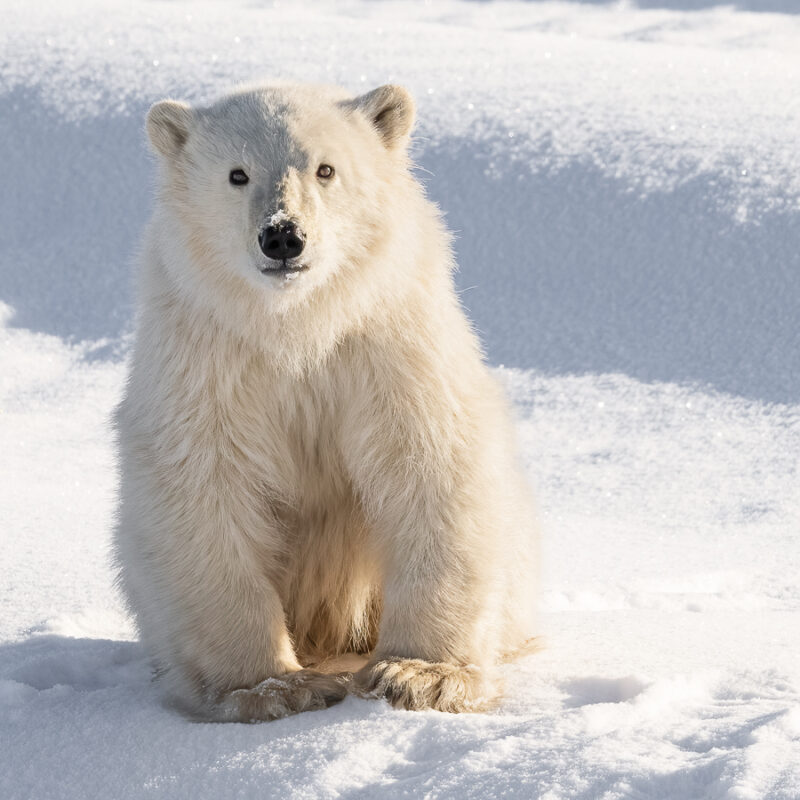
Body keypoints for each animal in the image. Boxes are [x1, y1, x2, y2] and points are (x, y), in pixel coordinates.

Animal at [112, 81, 536, 720]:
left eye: (326, 168)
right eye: (237, 173)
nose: (282, 236)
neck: (299, 325)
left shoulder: (386, 345)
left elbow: (433, 463)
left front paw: (419, 674)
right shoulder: (208, 360)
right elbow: (203, 489)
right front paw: (271, 687)